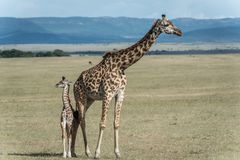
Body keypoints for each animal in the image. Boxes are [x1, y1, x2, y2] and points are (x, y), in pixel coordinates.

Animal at [72, 14, 182, 159]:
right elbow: (102, 123)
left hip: (90, 99)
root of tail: (75, 83)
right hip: (80, 97)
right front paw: (97, 153)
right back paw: (87, 151)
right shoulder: (107, 94)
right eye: (166, 24)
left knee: (77, 120)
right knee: (82, 120)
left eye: (172, 22)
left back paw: (74, 151)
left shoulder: (120, 93)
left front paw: (117, 152)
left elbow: (116, 123)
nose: (180, 32)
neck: (122, 65)